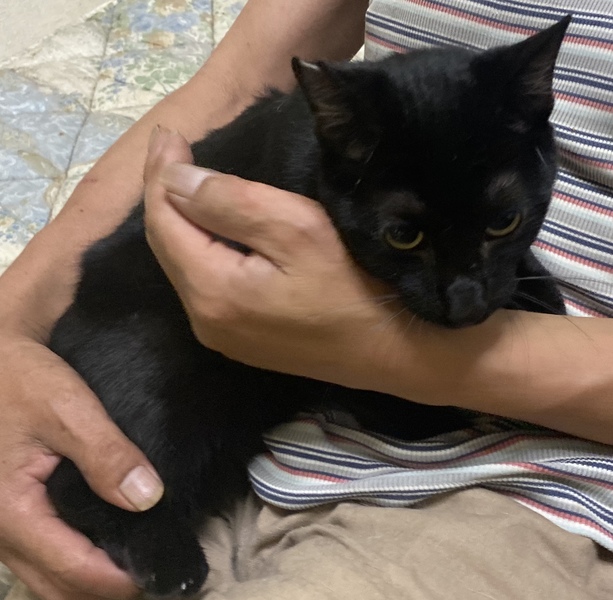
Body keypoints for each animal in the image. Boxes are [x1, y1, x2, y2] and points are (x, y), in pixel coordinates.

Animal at [45, 16, 570, 599]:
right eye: (402, 236)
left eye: (505, 221)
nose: (465, 302)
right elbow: (399, 410)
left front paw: (544, 295)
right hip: (161, 358)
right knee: (85, 486)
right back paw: (171, 562)